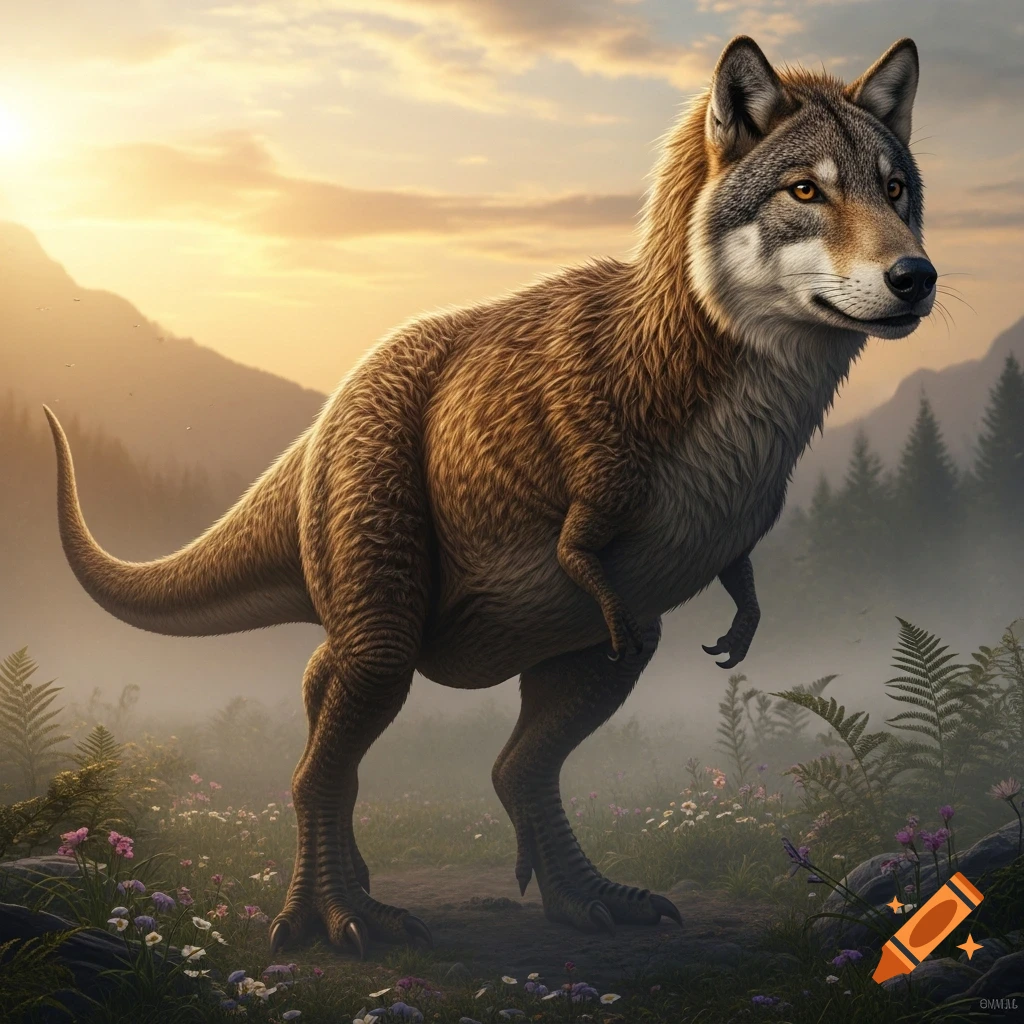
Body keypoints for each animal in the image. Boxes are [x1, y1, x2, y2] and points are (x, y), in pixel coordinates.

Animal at [44, 35, 936, 956]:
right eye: (804, 190)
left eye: (895, 186)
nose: (916, 276)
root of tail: (325, 423)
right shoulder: (587, 440)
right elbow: (579, 534)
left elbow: (731, 574)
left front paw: (748, 609)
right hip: (377, 539)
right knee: (319, 758)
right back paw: (338, 913)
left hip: (579, 638)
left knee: (496, 756)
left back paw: (586, 897)